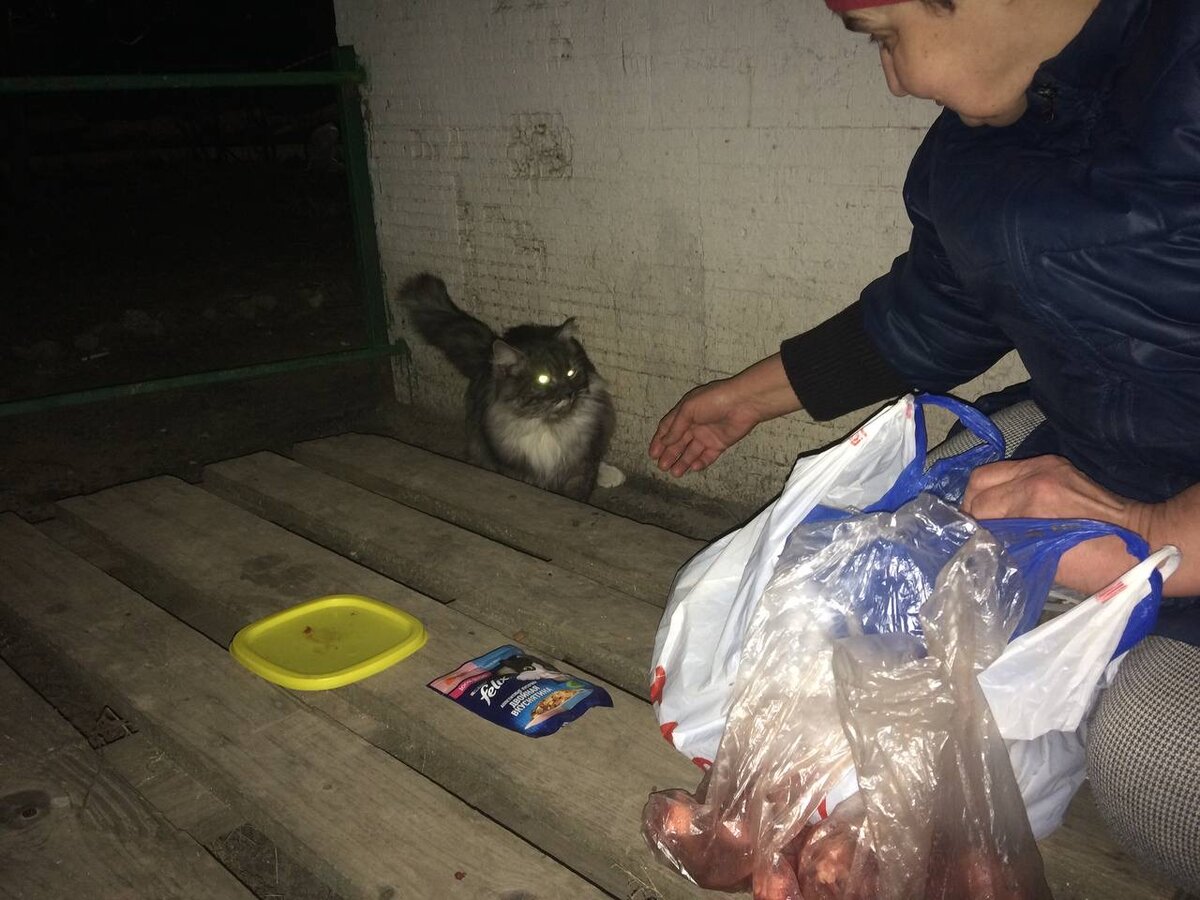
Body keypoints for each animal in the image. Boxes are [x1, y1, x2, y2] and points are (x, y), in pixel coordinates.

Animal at [400, 274, 619, 501]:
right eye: (543, 379)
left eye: (570, 373)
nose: (568, 393)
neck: (549, 427)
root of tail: (490, 348)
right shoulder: (516, 470)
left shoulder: (581, 469)